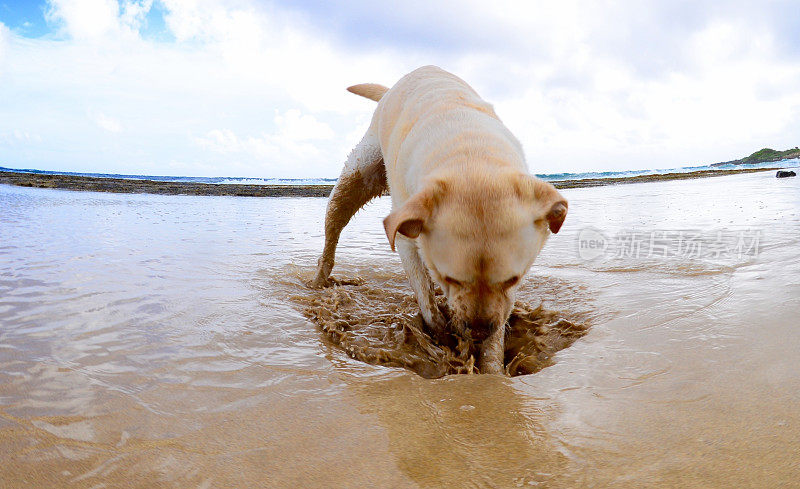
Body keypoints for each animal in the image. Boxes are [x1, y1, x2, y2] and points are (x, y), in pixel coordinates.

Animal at [312, 66, 568, 374]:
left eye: (513, 279)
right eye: (450, 278)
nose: (478, 332)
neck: (470, 154)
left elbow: (498, 325)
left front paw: (492, 369)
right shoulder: (406, 231)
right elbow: (425, 297)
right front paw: (441, 339)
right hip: (356, 176)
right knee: (333, 230)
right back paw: (319, 279)